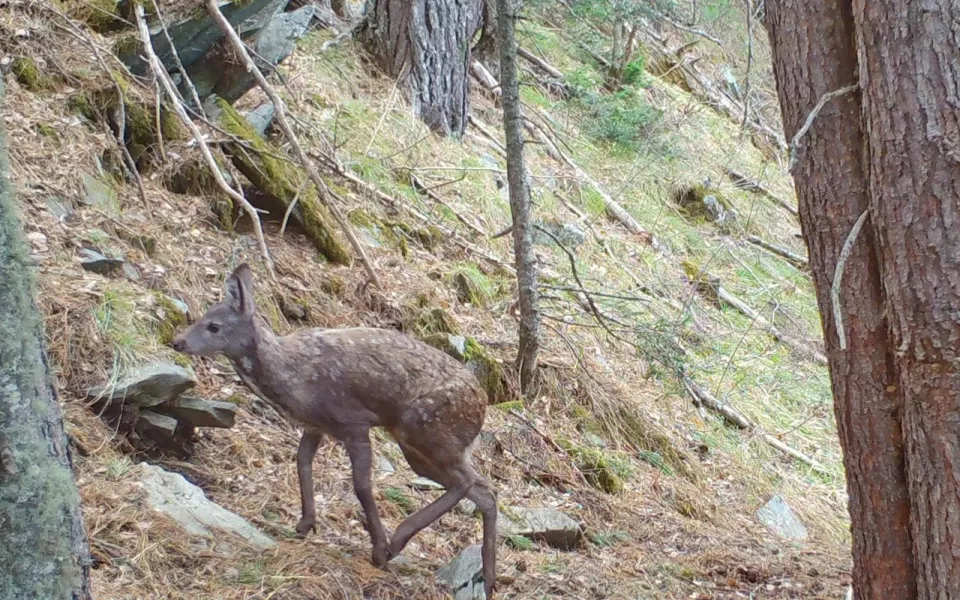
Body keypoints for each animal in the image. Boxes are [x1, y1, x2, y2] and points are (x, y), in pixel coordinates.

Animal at [172, 264, 498, 596]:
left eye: (213, 326)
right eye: (202, 315)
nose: (177, 342)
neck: (293, 377)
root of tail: (482, 403)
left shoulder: (353, 421)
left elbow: (362, 486)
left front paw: (378, 548)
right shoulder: (316, 426)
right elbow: (302, 462)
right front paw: (305, 523)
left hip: (426, 427)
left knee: (467, 482)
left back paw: (396, 543)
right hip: (422, 447)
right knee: (484, 489)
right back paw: (489, 577)